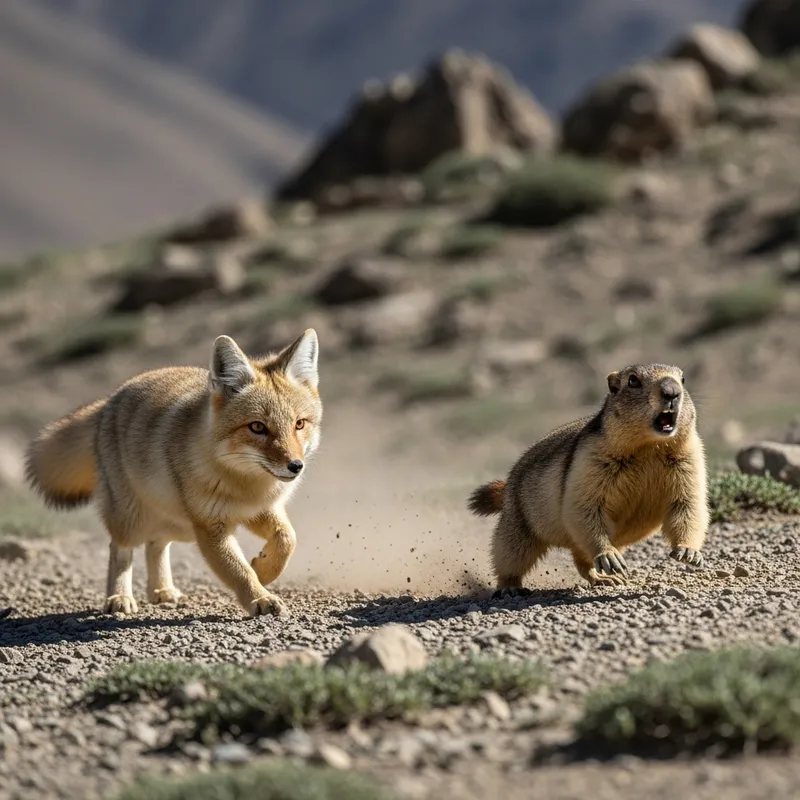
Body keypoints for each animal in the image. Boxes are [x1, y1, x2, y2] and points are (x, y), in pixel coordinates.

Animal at [25, 329, 322, 618]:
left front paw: (264, 569)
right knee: (120, 549)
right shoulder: (211, 527)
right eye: (258, 427)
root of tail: (109, 400)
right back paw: (119, 597)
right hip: (134, 520)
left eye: (299, 424)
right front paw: (260, 597)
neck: (246, 485)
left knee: (156, 543)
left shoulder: (260, 510)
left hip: (179, 525)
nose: (295, 466)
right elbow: (237, 570)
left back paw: (161, 590)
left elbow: (287, 539)